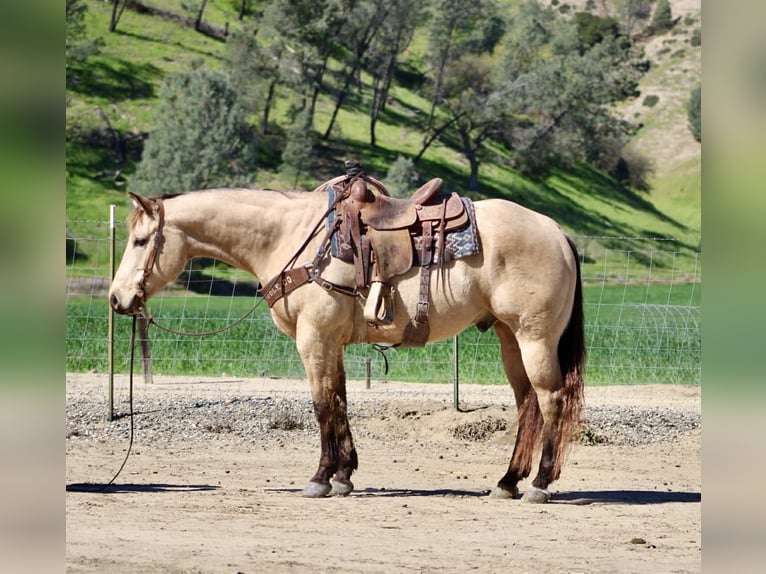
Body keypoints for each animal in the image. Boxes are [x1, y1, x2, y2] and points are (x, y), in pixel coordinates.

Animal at [108, 179, 585, 503]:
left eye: (140, 240)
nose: (116, 299)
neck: (292, 236)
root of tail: (557, 231)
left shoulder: (314, 338)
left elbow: (322, 404)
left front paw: (320, 478)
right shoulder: (331, 342)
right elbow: (338, 399)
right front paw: (344, 475)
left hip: (534, 337)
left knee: (551, 400)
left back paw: (540, 484)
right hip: (509, 338)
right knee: (527, 404)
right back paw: (507, 481)